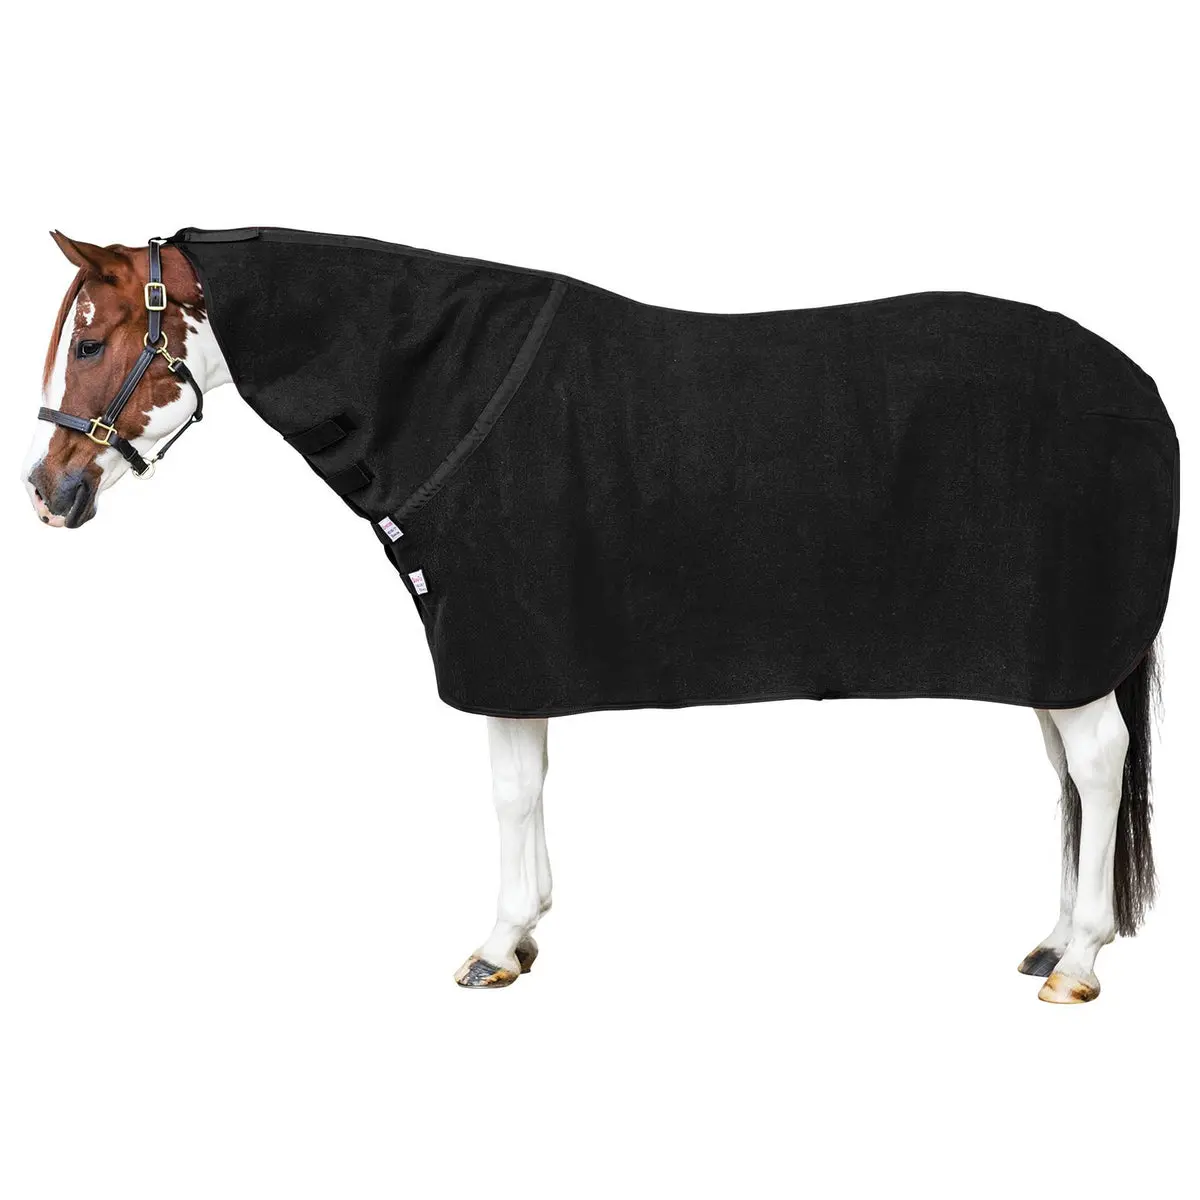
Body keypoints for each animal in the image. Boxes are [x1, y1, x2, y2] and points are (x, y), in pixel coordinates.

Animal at [24, 230, 1179, 1002]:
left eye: (91, 342)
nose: (47, 491)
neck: (443, 383)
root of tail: (1140, 387)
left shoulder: (499, 645)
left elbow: (507, 790)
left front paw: (495, 946)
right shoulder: (521, 654)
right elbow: (532, 785)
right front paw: (528, 931)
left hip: (1070, 650)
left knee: (1096, 765)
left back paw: (1078, 960)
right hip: (1052, 657)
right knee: (1070, 776)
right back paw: (1054, 938)